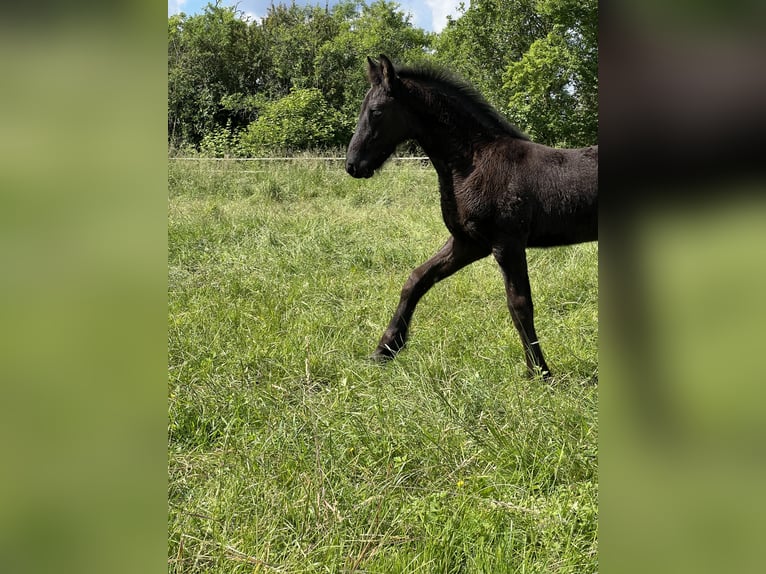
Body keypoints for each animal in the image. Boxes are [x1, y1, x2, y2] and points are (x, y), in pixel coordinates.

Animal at [348, 55, 600, 378]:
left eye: (376, 111)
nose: (353, 165)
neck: (474, 162)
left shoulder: (507, 243)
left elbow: (519, 304)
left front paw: (540, 372)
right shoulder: (468, 242)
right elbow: (416, 279)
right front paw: (385, 349)